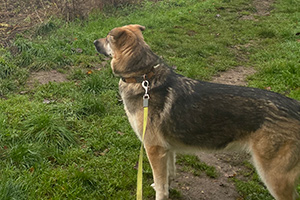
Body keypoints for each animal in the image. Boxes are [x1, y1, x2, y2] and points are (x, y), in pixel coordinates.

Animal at [94, 24, 300, 199]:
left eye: (107, 38)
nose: (94, 41)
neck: (142, 77)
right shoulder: (166, 149)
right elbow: (168, 175)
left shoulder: (154, 149)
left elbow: (160, 184)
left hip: (275, 177)